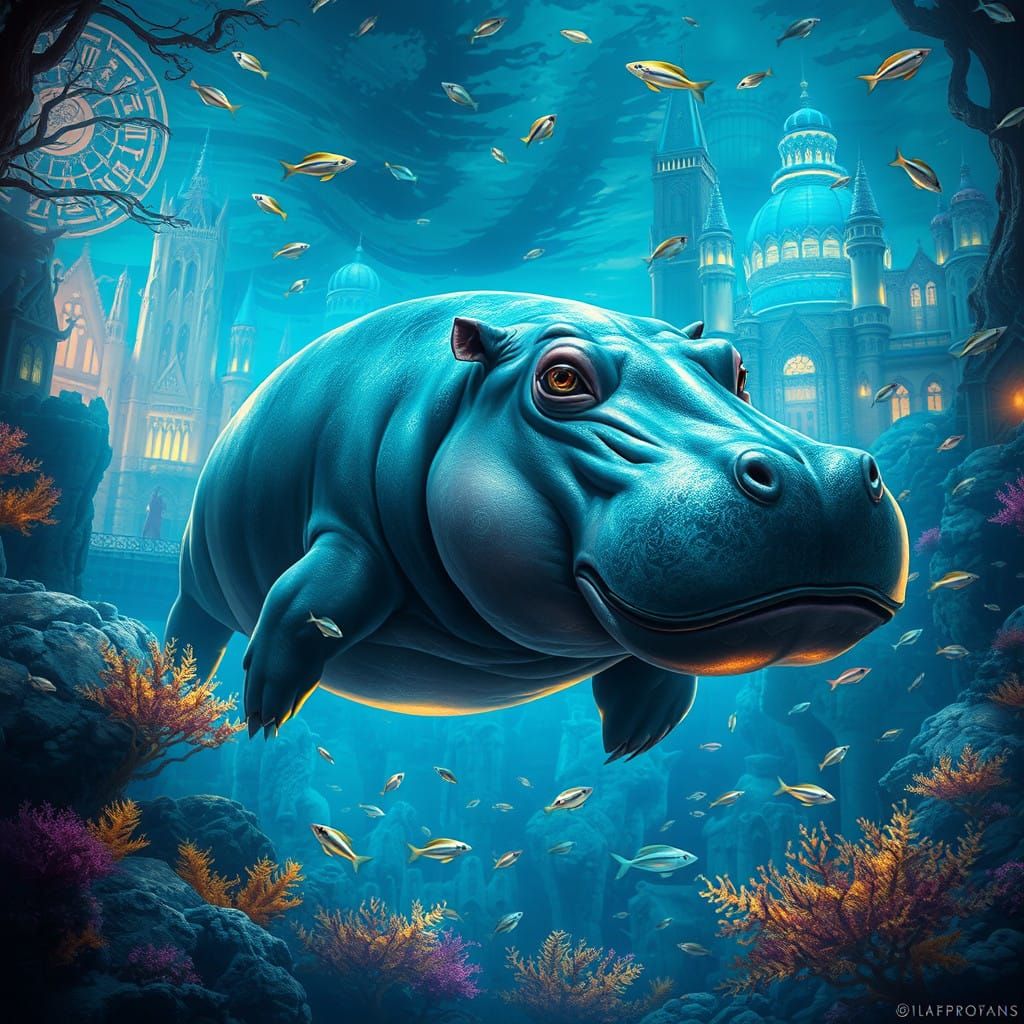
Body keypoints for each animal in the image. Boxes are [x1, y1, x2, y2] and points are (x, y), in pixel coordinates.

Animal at [167, 292, 908, 761]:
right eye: (560, 378)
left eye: (735, 366)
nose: (821, 481)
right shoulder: (344, 529)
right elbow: (305, 600)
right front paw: (263, 711)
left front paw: (638, 732)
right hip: (196, 577)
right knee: (196, 621)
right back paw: (176, 678)